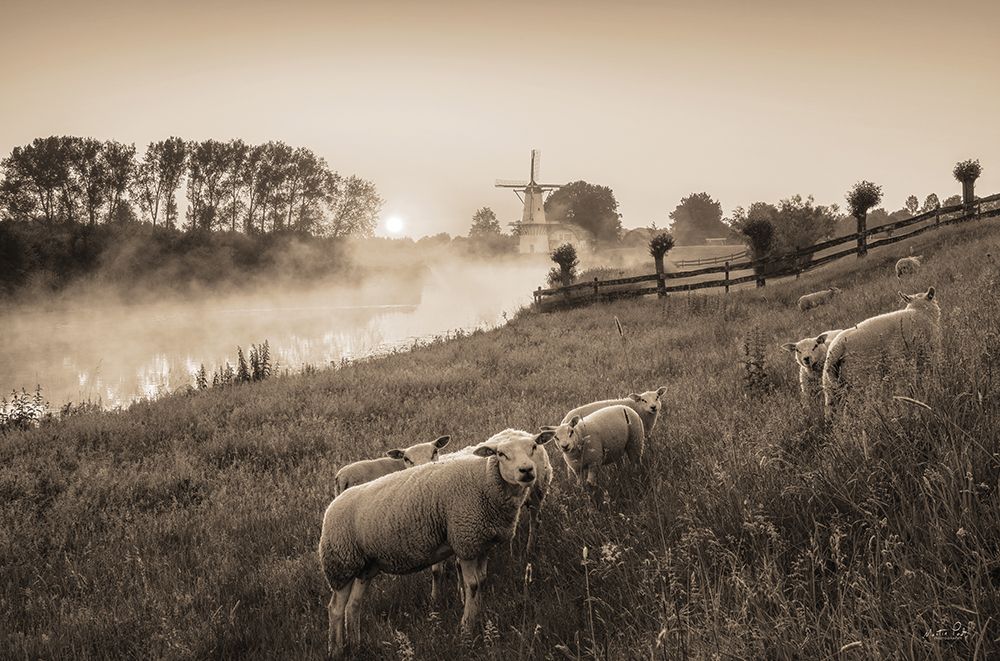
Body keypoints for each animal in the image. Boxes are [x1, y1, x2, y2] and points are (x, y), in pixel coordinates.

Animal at [318, 428, 556, 656]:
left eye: (533, 447)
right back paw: (336, 649)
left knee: (353, 605)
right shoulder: (465, 539)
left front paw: (478, 618)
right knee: (336, 608)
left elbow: (482, 581)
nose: (527, 470)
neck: (485, 480)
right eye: (501, 454)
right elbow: (472, 585)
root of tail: (332, 505)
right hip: (341, 563)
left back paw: (356, 645)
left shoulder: (481, 543)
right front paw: (466, 630)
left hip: (365, 566)